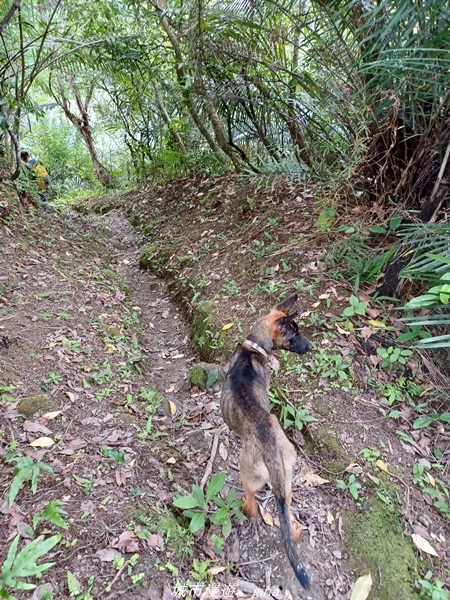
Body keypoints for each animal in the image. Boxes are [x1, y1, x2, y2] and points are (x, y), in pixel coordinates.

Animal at [221, 292, 312, 588]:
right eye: (294, 336)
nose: (310, 346)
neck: (254, 347)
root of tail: (271, 449)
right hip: (288, 476)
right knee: (287, 508)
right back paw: (295, 531)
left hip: (247, 473)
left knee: (251, 505)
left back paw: (243, 508)